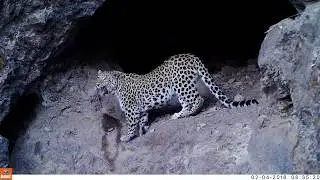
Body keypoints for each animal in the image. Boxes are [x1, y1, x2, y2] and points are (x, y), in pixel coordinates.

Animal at [95, 52, 258, 143]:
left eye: (105, 80)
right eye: (98, 80)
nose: (98, 85)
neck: (117, 87)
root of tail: (191, 56)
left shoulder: (131, 110)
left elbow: (131, 125)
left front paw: (127, 137)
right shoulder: (141, 110)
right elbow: (142, 120)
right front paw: (143, 131)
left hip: (181, 85)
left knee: (197, 99)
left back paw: (185, 114)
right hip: (184, 86)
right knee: (189, 101)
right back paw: (180, 114)